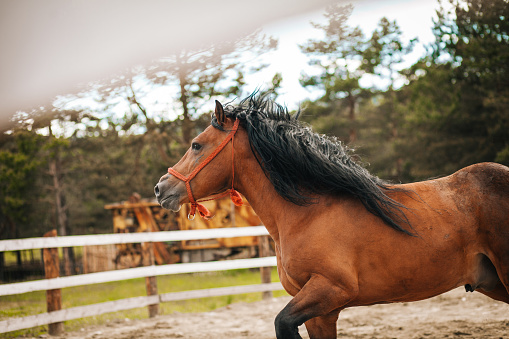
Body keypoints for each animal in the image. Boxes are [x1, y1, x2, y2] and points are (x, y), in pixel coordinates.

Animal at [155, 93, 508, 339]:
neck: (308, 212)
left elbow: (281, 323)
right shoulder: (321, 312)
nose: (161, 188)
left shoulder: (331, 290)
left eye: (196, 145)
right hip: (492, 282)